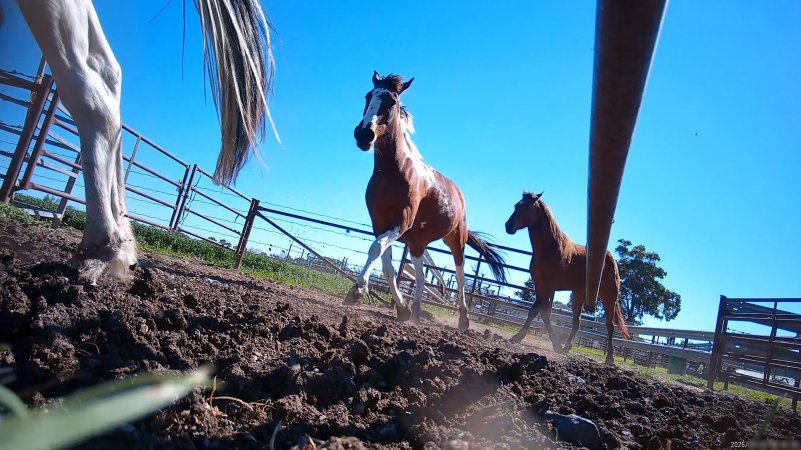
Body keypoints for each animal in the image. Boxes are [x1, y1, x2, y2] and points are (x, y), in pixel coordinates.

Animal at [344, 72, 507, 330]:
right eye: (368, 96)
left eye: (392, 101)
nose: (363, 134)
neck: (394, 172)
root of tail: (459, 193)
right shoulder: (379, 224)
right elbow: (387, 265)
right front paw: (401, 308)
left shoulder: (401, 222)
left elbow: (376, 249)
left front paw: (357, 291)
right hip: (417, 244)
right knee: (420, 278)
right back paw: (416, 312)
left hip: (456, 240)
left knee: (460, 277)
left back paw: (463, 319)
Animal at [504, 192, 630, 365]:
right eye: (516, 205)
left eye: (527, 207)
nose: (508, 226)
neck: (550, 249)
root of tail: (612, 259)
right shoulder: (540, 286)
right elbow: (538, 312)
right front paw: (520, 337)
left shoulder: (548, 287)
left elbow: (541, 313)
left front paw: (552, 343)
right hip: (578, 295)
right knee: (577, 321)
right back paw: (567, 347)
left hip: (609, 297)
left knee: (609, 325)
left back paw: (609, 358)